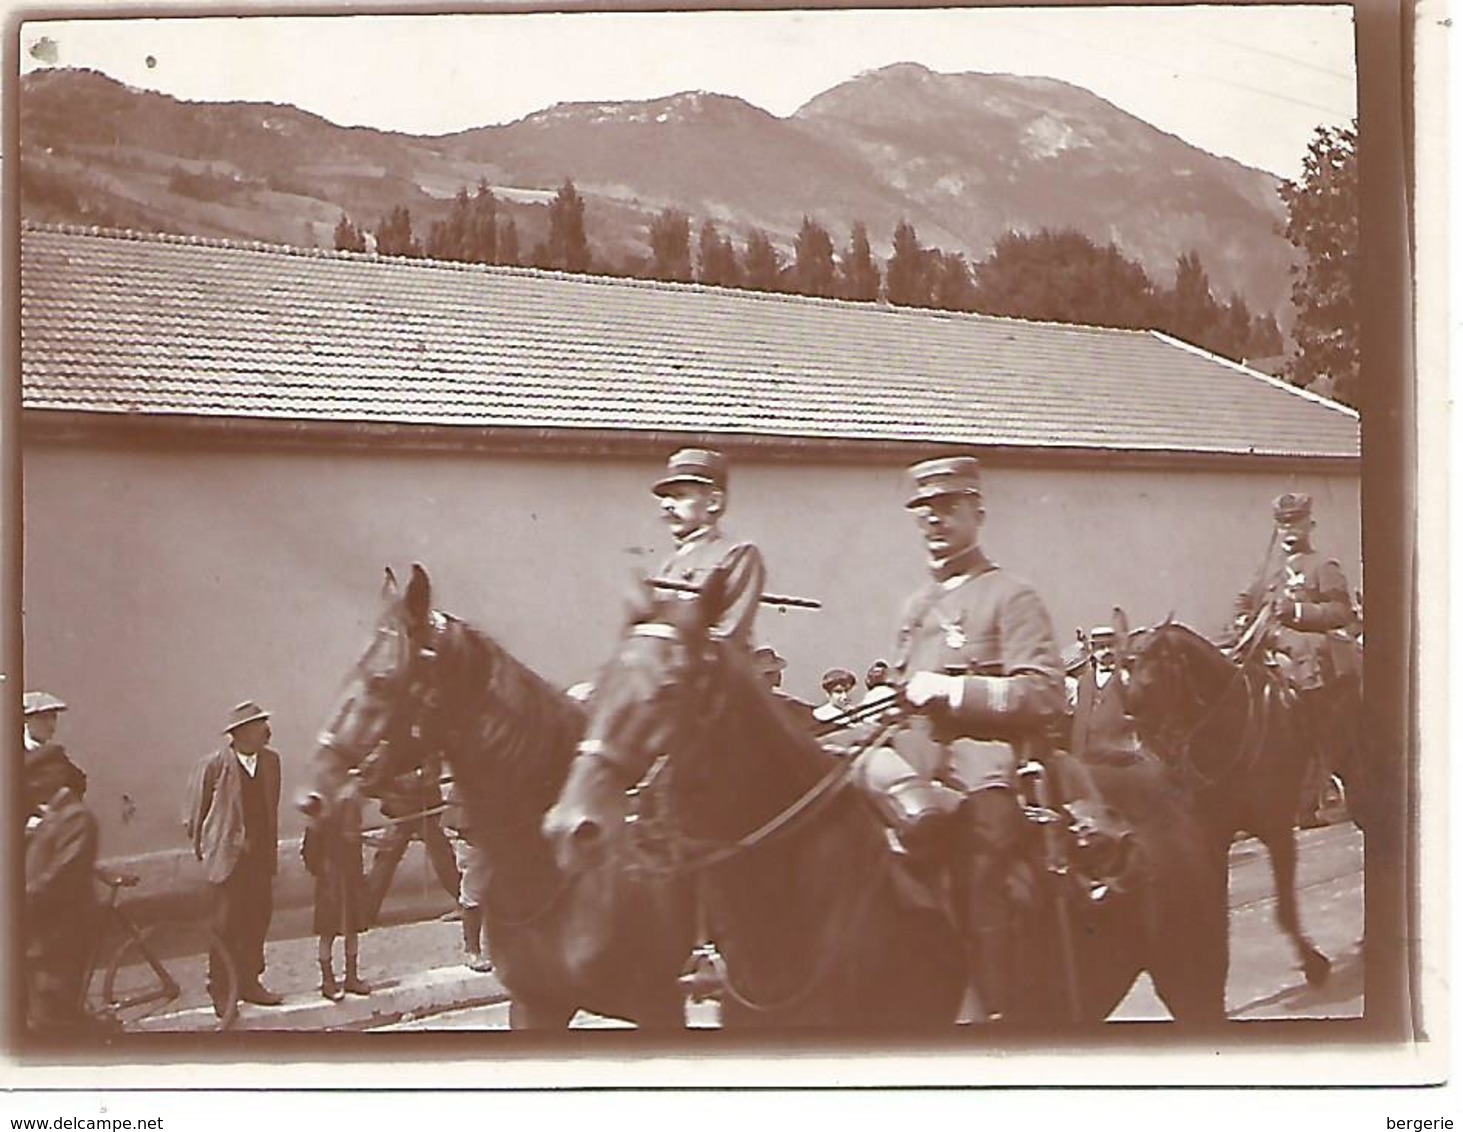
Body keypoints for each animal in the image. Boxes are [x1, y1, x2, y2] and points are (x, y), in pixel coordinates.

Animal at [1117, 617, 1340, 988]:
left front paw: (1314, 963)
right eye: (1126, 668)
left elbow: (1285, 909)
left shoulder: (1279, 831)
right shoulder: (1216, 839)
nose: (1142, 743)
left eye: (1155, 672)